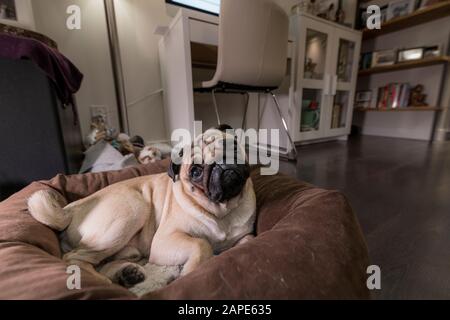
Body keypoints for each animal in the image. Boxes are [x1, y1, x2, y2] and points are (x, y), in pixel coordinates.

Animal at [27, 127, 253, 288]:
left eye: (231, 147)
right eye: (196, 172)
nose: (220, 164)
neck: (222, 211)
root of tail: (69, 209)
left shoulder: (246, 234)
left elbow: (246, 241)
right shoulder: (164, 242)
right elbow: (201, 244)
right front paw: (190, 273)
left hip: (127, 246)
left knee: (99, 262)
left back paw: (127, 275)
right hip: (133, 209)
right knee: (74, 258)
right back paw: (103, 283)